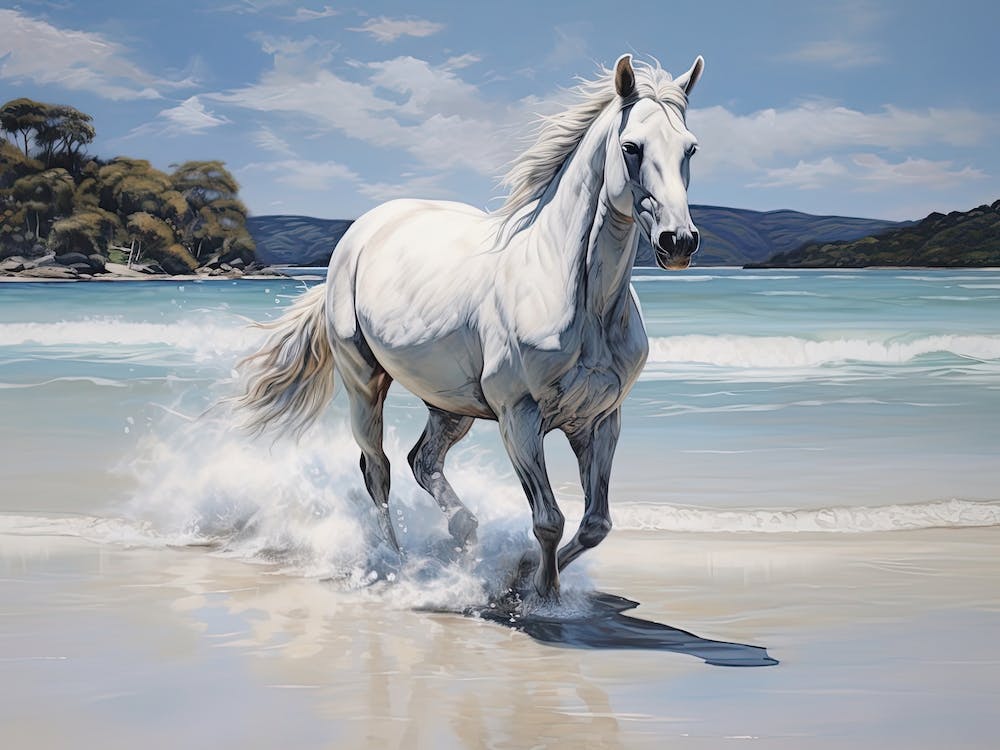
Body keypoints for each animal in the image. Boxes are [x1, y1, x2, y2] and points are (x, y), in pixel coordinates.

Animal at [233, 54, 704, 599]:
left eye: (690, 148)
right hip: (364, 382)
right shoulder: (519, 418)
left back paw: (461, 543)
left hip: (450, 404)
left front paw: (521, 575)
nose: (678, 242)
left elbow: (594, 524)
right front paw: (540, 596)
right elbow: (549, 520)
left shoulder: (601, 419)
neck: (576, 298)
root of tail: (361, 231)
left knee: (423, 462)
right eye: (631, 147)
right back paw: (399, 565)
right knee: (378, 470)